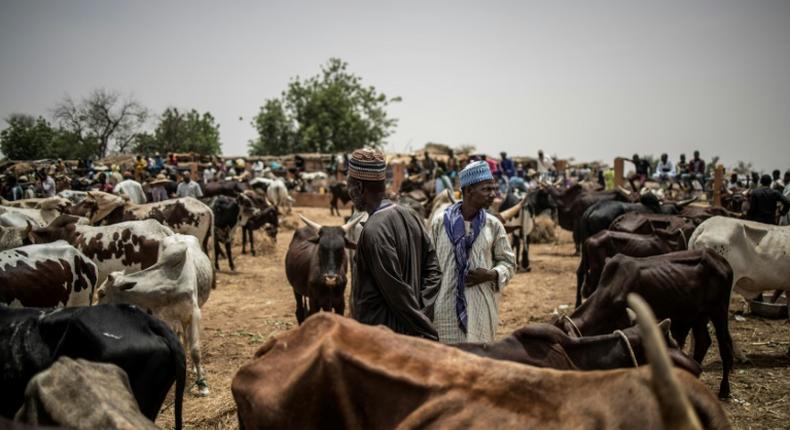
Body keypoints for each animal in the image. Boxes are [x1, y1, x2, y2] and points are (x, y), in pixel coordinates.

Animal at [99, 235, 217, 396]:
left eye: (101, 293)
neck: (169, 284)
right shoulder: (165, 318)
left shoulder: (194, 314)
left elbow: (195, 350)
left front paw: (202, 385)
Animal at [556, 250, 736, 398]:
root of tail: (721, 260)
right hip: (698, 316)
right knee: (703, 342)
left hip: (719, 310)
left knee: (725, 345)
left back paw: (724, 389)